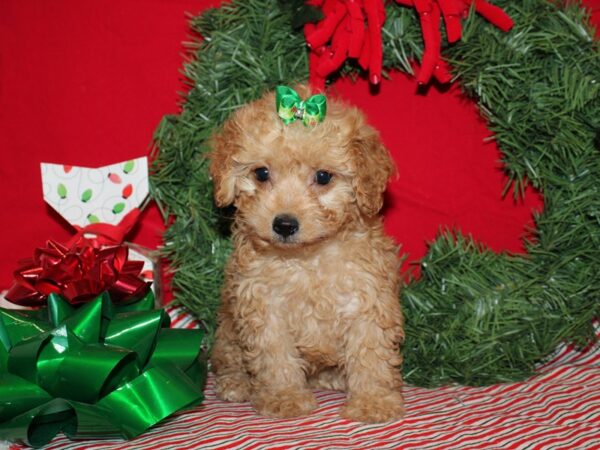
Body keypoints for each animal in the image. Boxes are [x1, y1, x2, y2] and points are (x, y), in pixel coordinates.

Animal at [209, 86, 406, 424]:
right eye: (261, 173)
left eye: (324, 177)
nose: (285, 224)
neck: (306, 259)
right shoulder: (263, 307)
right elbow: (275, 358)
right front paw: (284, 397)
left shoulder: (367, 301)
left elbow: (370, 354)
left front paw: (373, 401)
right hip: (227, 330)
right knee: (228, 359)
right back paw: (237, 383)